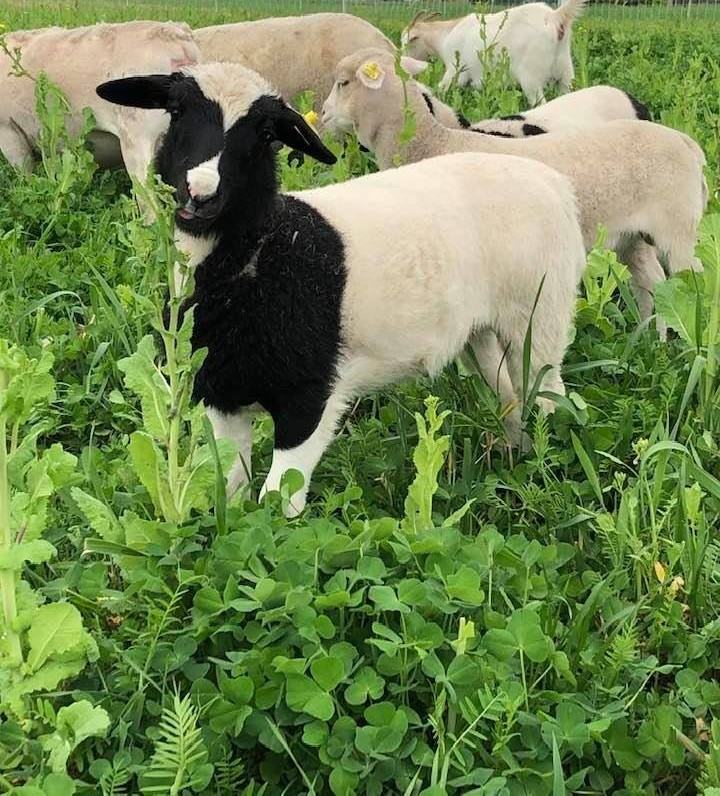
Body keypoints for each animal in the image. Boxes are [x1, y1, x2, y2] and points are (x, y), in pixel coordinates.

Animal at [96, 62, 587, 517]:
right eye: (176, 111)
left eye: (265, 133)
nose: (200, 193)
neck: (260, 256)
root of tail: (553, 182)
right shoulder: (222, 393)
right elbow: (231, 489)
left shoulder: (311, 397)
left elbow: (278, 500)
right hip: (479, 330)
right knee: (508, 392)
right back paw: (513, 454)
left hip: (540, 313)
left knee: (548, 393)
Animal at [322, 48, 707, 329]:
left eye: (343, 82)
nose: (322, 114)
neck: (433, 142)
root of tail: (689, 144)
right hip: (633, 236)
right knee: (654, 284)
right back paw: (651, 338)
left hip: (678, 230)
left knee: (691, 284)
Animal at [401, 0, 585, 104]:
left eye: (407, 42)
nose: (403, 66)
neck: (446, 34)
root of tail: (555, 17)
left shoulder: (455, 71)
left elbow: (439, 90)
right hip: (566, 73)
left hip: (531, 77)